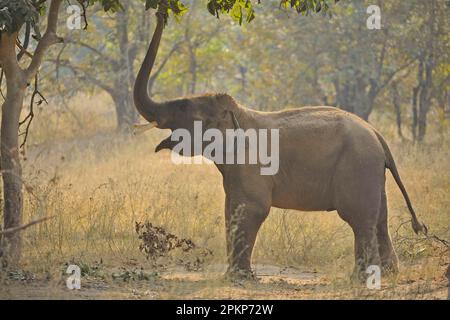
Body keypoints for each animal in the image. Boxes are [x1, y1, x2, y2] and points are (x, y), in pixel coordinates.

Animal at [133, 9, 426, 280]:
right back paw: (388, 273)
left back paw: (362, 278)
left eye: (185, 109)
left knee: (359, 217)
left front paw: (239, 278)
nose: (159, 13)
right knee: (379, 218)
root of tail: (377, 134)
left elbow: (251, 207)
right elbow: (231, 209)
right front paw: (234, 276)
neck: (239, 113)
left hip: (358, 166)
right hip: (371, 171)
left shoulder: (250, 164)